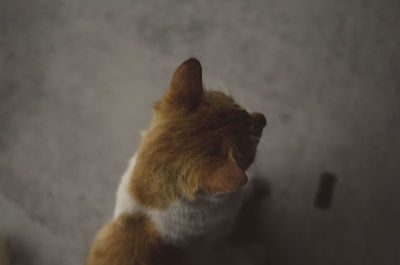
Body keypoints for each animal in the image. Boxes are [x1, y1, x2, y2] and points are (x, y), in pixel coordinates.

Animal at [86, 58, 268, 264]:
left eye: (239, 106)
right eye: (253, 140)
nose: (264, 118)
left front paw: (256, 184)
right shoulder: (210, 250)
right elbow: (235, 254)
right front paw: (256, 253)